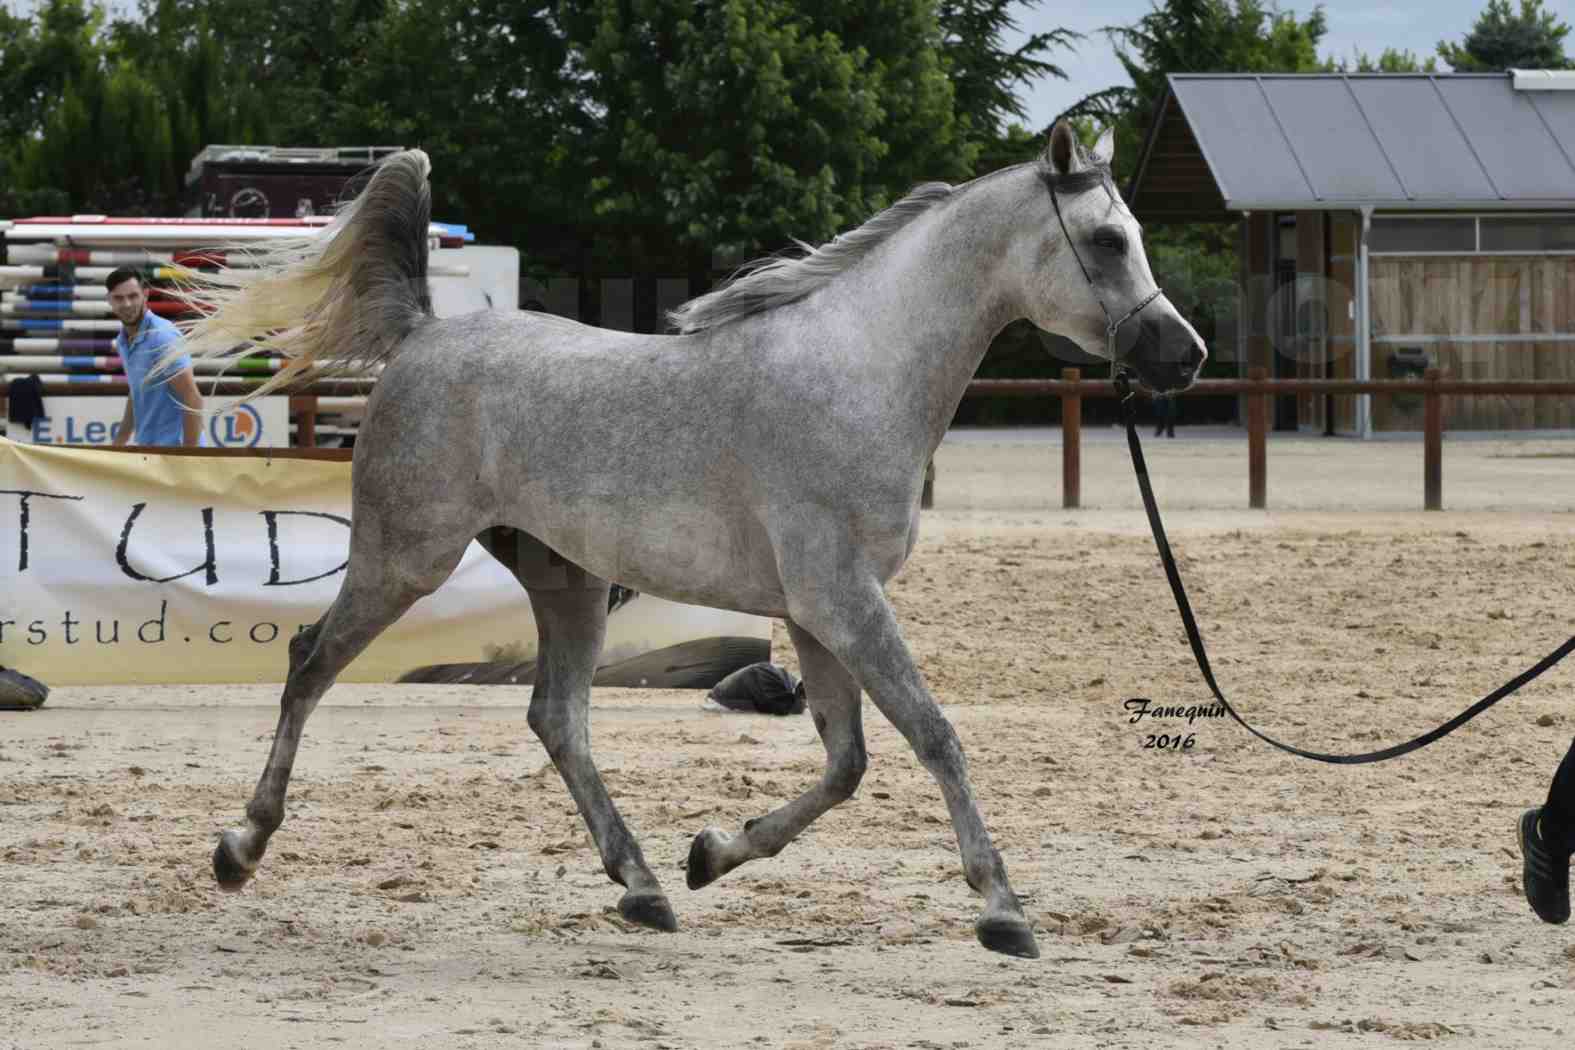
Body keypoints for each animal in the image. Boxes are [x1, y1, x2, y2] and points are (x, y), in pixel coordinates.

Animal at [175, 123, 1203, 963]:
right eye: (1108, 240)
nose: (1182, 355)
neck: (857, 376)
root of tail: (424, 337)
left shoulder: (819, 613)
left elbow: (846, 764)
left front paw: (710, 854)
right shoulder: (843, 599)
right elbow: (932, 735)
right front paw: (1002, 910)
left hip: (568, 584)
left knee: (557, 719)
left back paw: (642, 887)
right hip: (405, 559)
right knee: (311, 663)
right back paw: (239, 849)